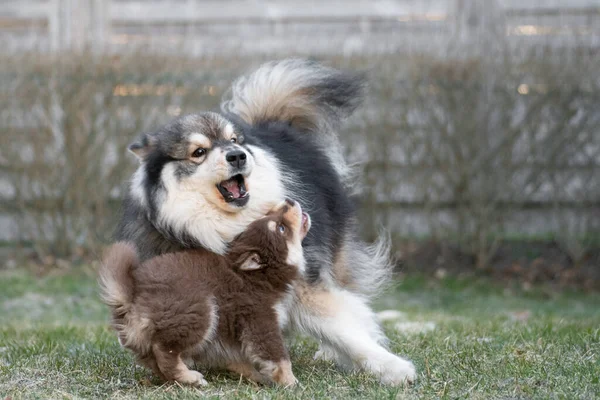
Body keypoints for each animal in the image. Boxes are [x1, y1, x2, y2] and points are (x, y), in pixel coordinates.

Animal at [99, 200, 310, 388]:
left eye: (269, 215)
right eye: (281, 228)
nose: (288, 201)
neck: (258, 277)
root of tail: (133, 294)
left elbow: (240, 358)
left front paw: (257, 376)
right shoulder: (259, 319)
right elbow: (279, 357)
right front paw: (291, 382)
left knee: (156, 362)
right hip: (200, 310)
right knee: (165, 353)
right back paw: (191, 378)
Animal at [116, 58, 418, 384]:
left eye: (233, 141)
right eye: (199, 152)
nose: (238, 155)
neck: (226, 228)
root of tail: (273, 123)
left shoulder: (302, 281)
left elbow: (345, 331)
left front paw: (391, 367)